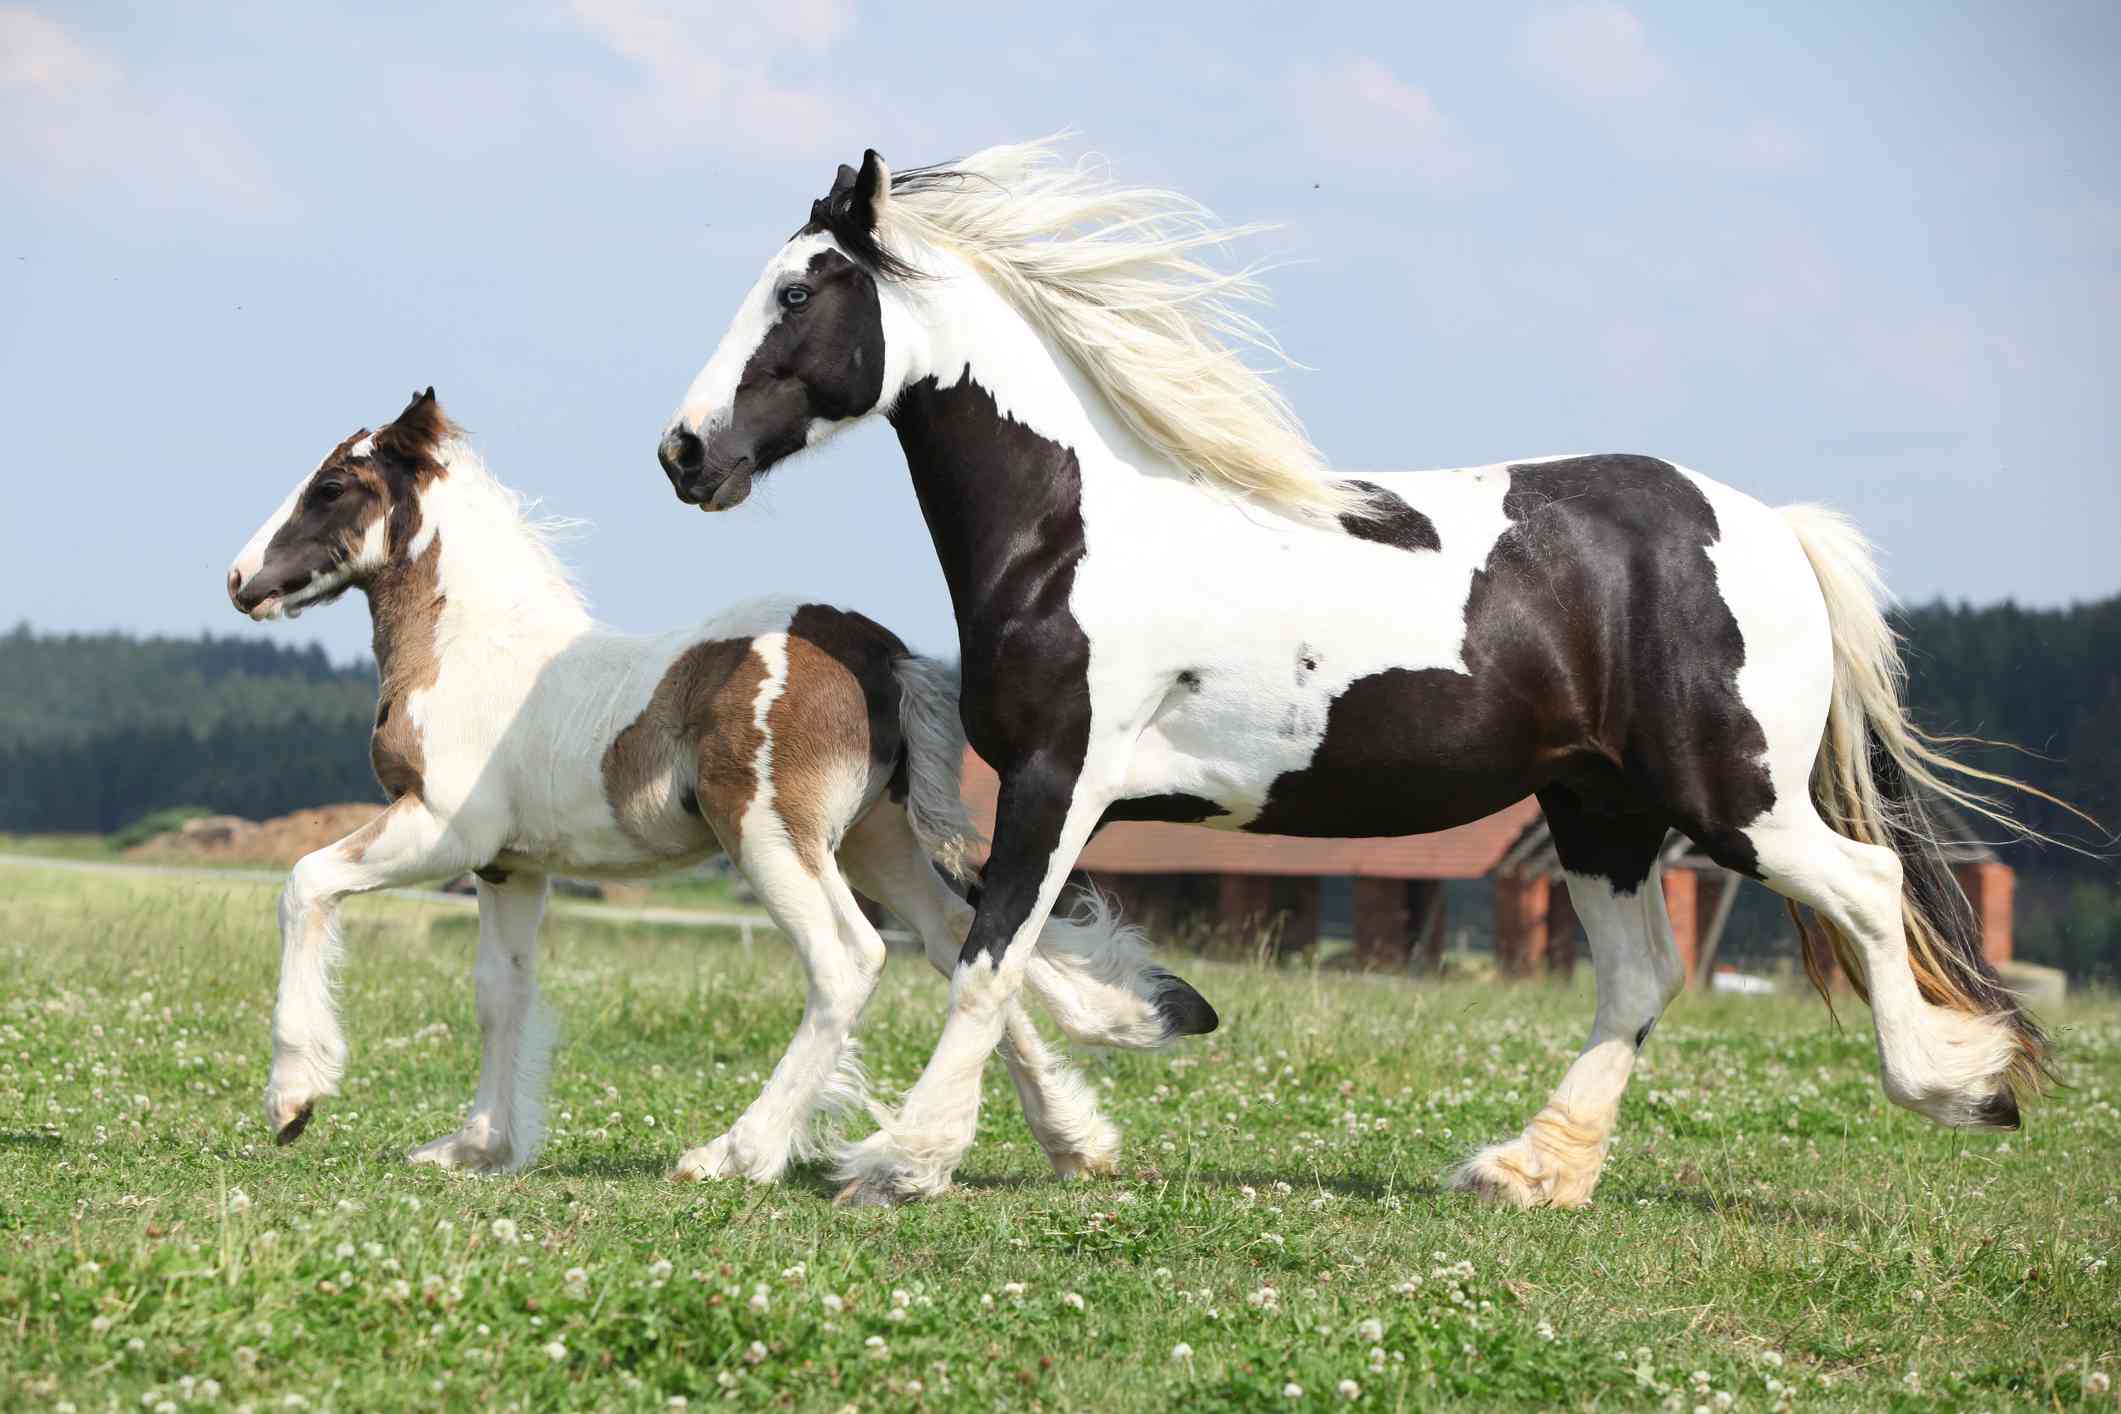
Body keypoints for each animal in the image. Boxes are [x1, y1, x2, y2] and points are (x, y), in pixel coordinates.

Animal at [224, 388, 1214, 1181]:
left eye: (332, 486)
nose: (239, 580)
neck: (476, 652)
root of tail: (880, 652)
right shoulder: (512, 867)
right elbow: (500, 995)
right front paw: (475, 1146)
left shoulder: (440, 831)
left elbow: (304, 884)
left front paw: (294, 1098)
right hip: (875, 839)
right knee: (962, 940)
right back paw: (1069, 1142)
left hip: (771, 835)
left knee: (850, 960)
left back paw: (736, 1153)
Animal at [655, 138, 2066, 1209]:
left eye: (798, 294)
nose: (683, 451)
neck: (1073, 527)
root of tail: (1773, 526)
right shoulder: (1051, 798)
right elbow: (996, 951)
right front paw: (1134, 1031)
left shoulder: (1064, 780)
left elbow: (988, 959)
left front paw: (898, 1160)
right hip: (1601, 809)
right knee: (1640, 979)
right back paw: (1530, 1171)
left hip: (1733, 798)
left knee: (1872, 888)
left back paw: (1961, 1085)